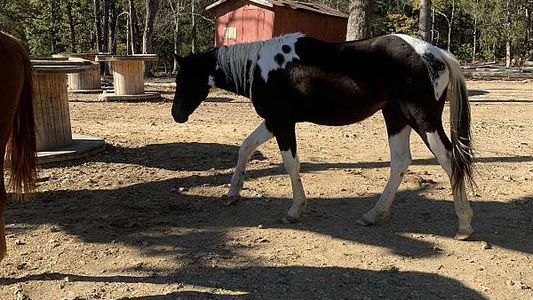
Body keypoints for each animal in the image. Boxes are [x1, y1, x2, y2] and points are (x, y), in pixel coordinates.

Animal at [172, 33, 476, 239]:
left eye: (184, 78)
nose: (177, 115)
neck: (261, 67)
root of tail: (437, 53)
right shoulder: (273, 122)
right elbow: (245, 147)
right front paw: (233, 193)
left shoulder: (282, 123)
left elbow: (291, 164)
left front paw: (295, 210)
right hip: (396, 117)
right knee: (401, 161)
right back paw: (373, 215)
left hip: (424, 120)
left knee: (450, 159)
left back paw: (464, 225)